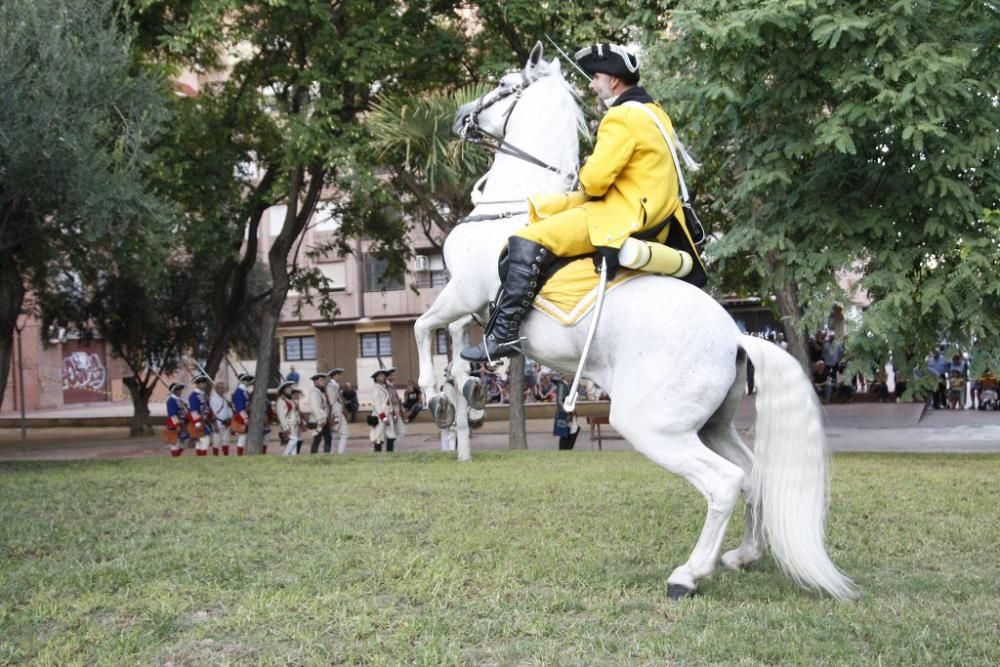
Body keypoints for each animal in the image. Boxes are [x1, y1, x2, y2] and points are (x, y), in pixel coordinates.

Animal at [410, 44, 856, 604]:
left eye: (506, 85)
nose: (460, 116)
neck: (510, 208)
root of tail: (736, 336)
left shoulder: (463, 293)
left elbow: (423, 327)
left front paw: (435, 393)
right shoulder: (466, 304)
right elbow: (452, 342)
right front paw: (463, 395)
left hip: (655, 427)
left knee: (724, 483)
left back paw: (688, 575)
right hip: (708, 426)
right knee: (753, 476)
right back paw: (743, 555)